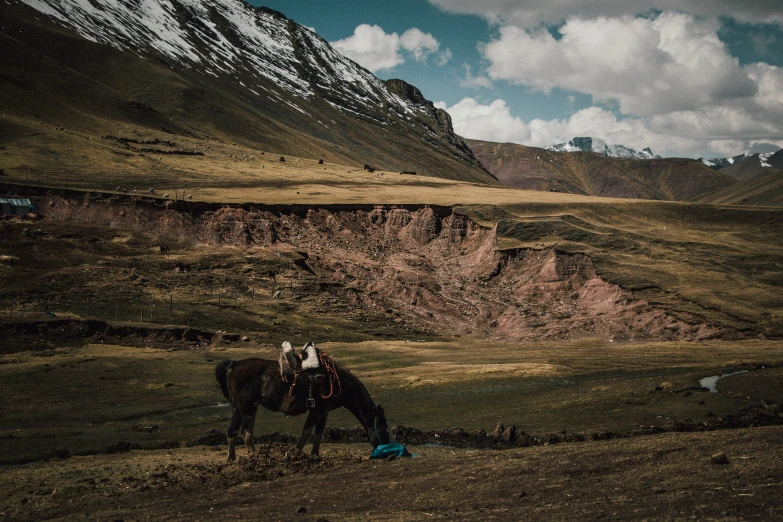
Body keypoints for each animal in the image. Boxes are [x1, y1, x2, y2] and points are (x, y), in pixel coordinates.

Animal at [214, 342, 392, 460]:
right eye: (383, 429)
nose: (389, 454)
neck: (338, 382)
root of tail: (235, 364)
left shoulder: (324, 412)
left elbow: (318, 433)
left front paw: (315, 455)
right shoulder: (316, 410)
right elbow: (306, 431)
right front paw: (295, 454)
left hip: (238, 409)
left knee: (232, 432)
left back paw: (232, 460)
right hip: (248, 408)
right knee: (246, 433)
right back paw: (256, 457)